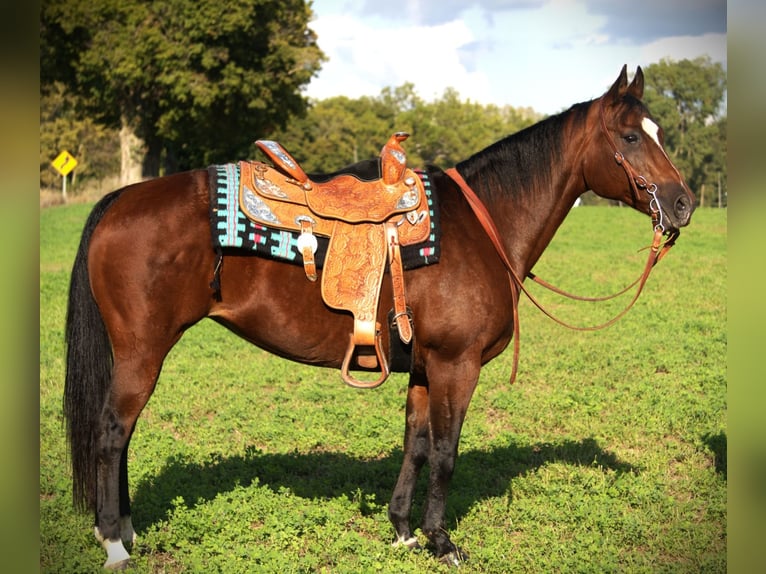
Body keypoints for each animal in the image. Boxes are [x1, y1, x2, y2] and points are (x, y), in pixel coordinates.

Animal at [64, 66, 694, 569]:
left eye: (659, 132)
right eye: (631, 135)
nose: (683, 203)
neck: (482, 226)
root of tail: (120, 199)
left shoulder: (424, 368)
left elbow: (415, 444)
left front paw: (404, 532)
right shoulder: (457, 365)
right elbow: (445, 452)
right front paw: (442, 542)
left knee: (123, 432)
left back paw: (126, 530)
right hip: (143, 351)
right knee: (112, 431)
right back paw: (114, 543)